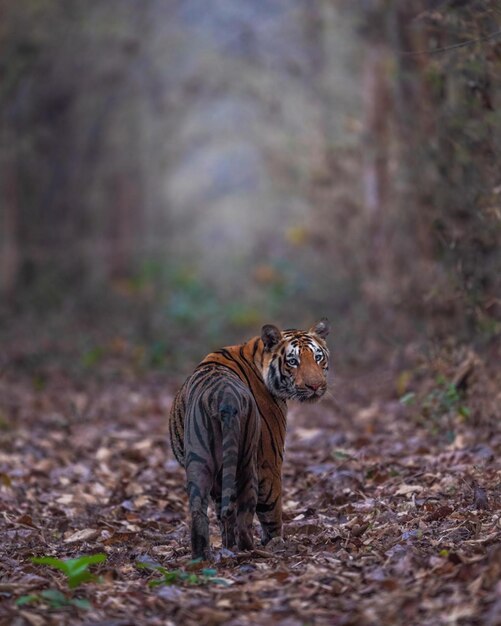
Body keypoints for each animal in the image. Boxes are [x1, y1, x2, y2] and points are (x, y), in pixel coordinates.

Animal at [170, 320, 330, 560]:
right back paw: (253, 550)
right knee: (249, 513)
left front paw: (228, 545)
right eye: (293, 361)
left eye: (318, 357)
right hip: (248, 463)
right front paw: (274, 542)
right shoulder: (270, 461)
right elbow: (270, 510)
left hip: (200, 462)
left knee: (200, 512)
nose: (316, 386)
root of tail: (225, 397)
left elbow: (224, 515)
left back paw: (202, 557)